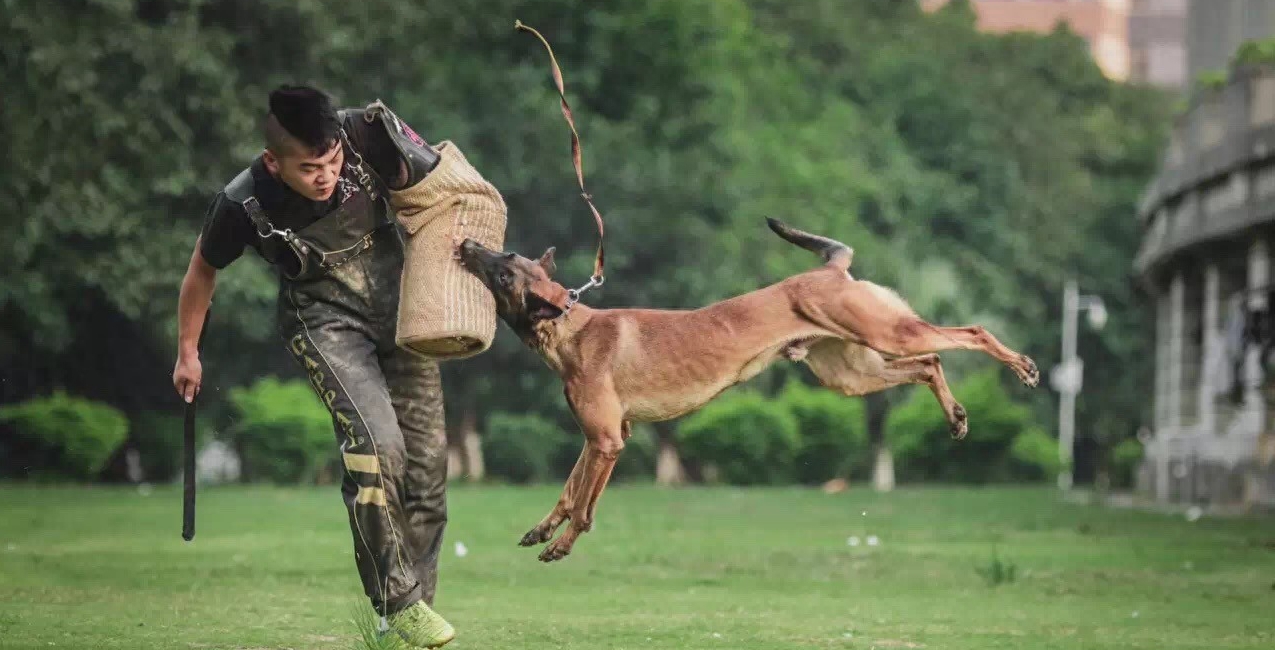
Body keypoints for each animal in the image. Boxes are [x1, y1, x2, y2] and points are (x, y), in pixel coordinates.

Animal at [459, 219, 1035, 563]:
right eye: (505, 252)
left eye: (505, 270)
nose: (466, 244)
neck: (569, 326)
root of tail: (832, 270)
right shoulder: (602, 438)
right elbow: (568, 490)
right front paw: (542, 529)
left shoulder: (607, 441)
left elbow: (583, 505)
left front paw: (562, 545)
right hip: (853, 374)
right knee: (931, 363)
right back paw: (957, 416)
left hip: (887, 335)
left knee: (970, 333)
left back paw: (1022, 366)